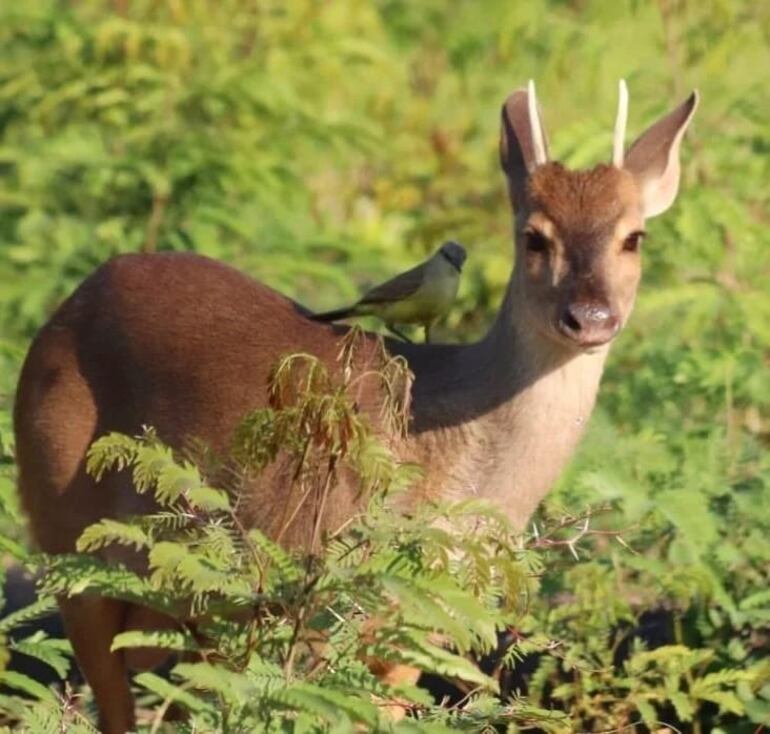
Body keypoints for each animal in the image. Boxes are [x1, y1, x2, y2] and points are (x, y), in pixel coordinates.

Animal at [13, 80, 696, 732]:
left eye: (634, 237)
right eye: (533, 237)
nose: (591, 317)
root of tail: (66, 308)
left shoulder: (418, 625)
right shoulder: (323, 591)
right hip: (68, 539)